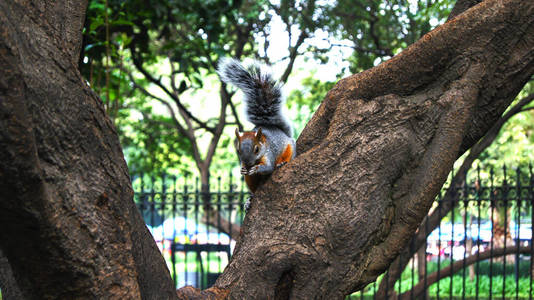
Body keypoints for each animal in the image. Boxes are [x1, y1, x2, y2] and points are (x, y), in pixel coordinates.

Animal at [218, 57, 298, 206]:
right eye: (238, 150)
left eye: (256, 149)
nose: (248, 164)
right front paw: (243, 170)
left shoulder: (269, 154)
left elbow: (268, 167)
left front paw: (257, 169)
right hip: (250, 180)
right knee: (253, 189)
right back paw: (249, 200)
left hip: (290, 146)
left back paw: (282, 162)